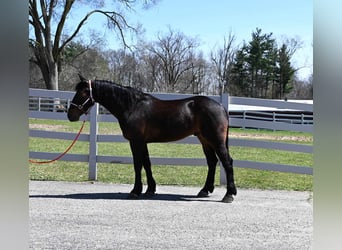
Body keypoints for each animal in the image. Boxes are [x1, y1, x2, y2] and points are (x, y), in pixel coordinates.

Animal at [68, 75, 236, 202]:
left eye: (83, 93)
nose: (70, 115)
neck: (132, 106)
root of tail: (221, 107)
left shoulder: (136, 141)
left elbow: (138, 165)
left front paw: (135, 191)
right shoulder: (142, 142)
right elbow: (147, 164)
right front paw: (150, 189)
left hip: (216, 140)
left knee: (227, 162)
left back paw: (229, 194)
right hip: (204, 140)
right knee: (212, 162)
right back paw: (205, 190)